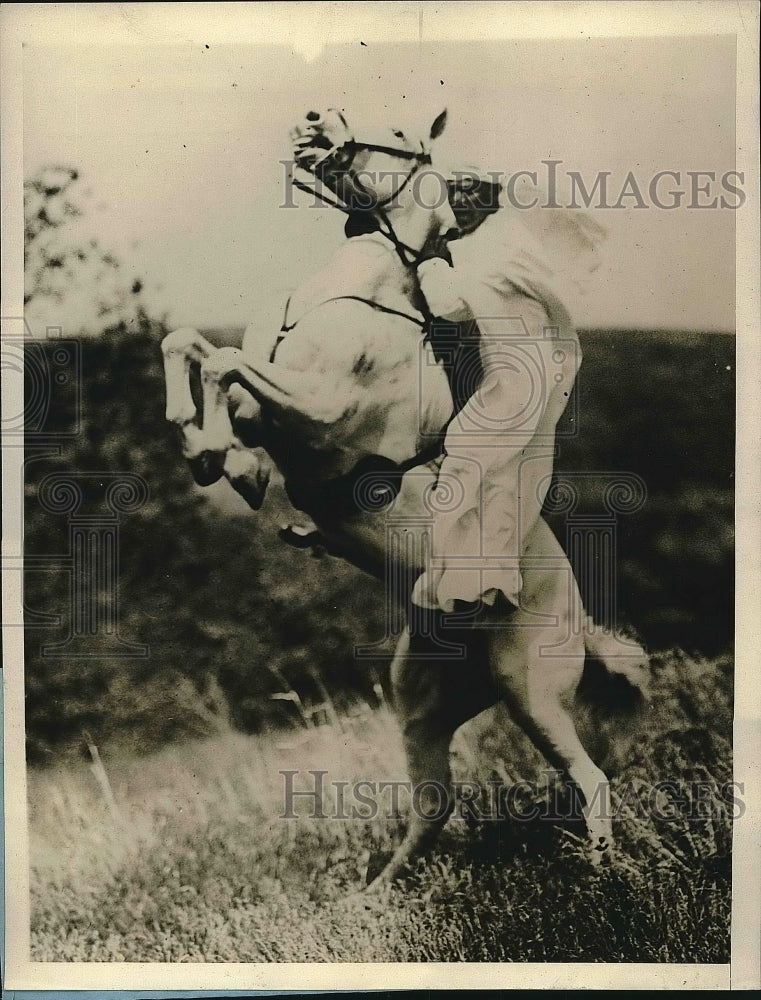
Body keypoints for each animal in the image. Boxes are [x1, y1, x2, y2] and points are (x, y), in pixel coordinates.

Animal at [162, 109, 648, 892]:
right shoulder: (270, 393)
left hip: (530, 688)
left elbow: (226, 363)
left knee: (589, 777)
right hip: (421, 704)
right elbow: (191, 345)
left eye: (395, 131)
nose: (311, 124)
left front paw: (224, 461)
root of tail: (577, 619)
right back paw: (376, 894)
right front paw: (209, 448)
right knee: (433, 806)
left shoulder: (320, 410)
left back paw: (604, 875)